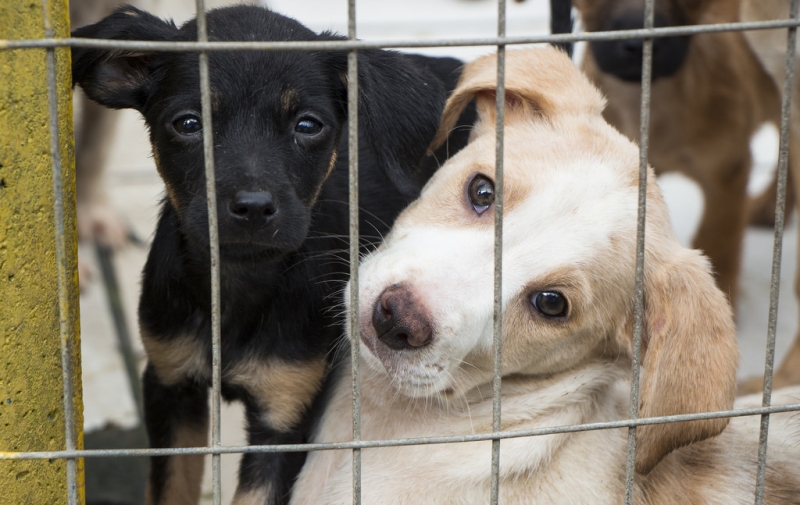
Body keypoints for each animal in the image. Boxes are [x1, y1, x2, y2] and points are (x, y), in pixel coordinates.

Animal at [72, 4, 472, 504]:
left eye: (308, 125)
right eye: (188, 123)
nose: (253, 207)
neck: (240, 280)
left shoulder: (285, 414)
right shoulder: (170, 387)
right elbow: (170, 489)